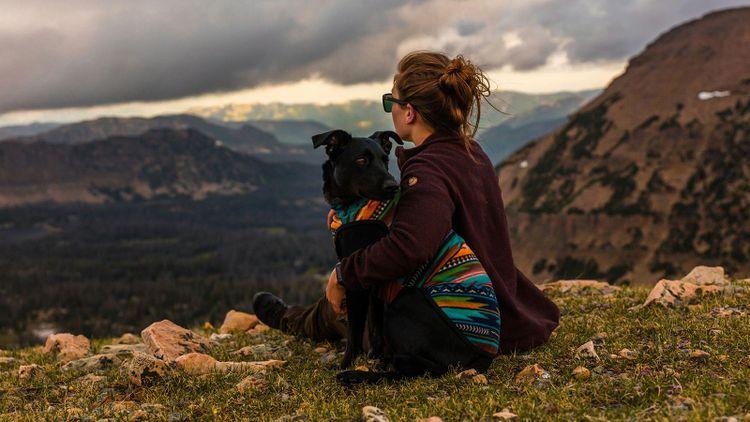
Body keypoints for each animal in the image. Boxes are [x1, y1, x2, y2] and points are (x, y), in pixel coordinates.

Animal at [312, 129, 406, 372]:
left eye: (385, 160)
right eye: (361, 160)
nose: (393, 186)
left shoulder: (356, 277)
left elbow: (354, 329)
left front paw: (346, 364)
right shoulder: (372, 283)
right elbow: (373, 323)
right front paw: (375, 355)